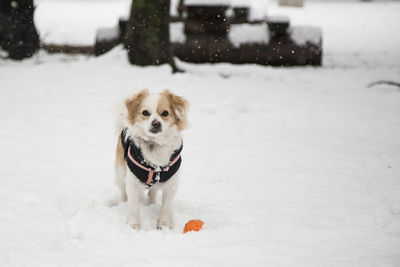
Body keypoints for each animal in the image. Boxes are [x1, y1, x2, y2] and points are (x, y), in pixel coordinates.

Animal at [115, 90, 188, 230]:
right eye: (145, 113)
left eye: (165, 113)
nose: (156, 123)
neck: (154, 144)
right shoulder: (132, 182)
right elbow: (134, 206)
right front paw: (133, 225)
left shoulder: (171, 184)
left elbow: (166, 206)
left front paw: (163, 224)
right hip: (120, 173)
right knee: (122, 191)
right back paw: (121, 203)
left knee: (152, 193)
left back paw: (151, 204)